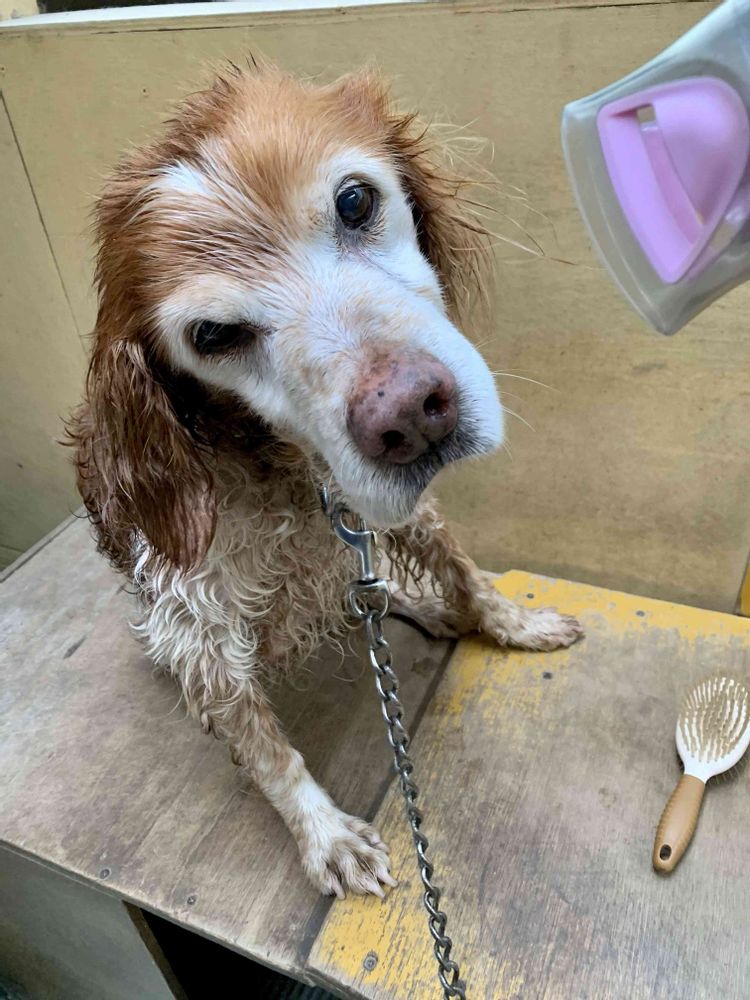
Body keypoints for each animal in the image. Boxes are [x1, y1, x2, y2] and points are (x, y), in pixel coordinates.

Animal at [68, 64, 583, 899]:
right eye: (213, 335)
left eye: (354, 202)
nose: (407, 414)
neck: (285, 474)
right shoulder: (198, 626)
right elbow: (267, 751)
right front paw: (327, 836)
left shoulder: (388, 507)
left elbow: (464, 572)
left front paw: (511, 624)